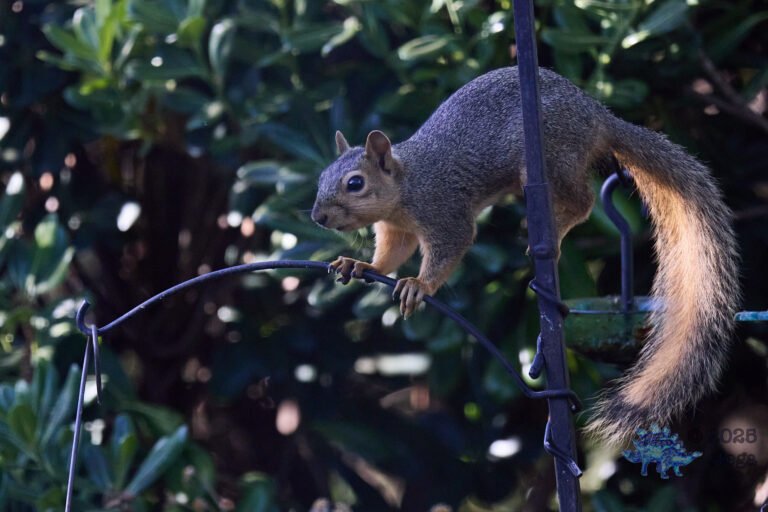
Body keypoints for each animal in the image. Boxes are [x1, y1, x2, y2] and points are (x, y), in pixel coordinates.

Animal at [310, 66, 739, 446]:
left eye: (355, 184)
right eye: (320, 178)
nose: (317, 217)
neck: (405, 186)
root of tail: (598, 116)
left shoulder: (443, 210)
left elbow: (452, 245)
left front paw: (419, 284)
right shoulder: (395, 229)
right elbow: (391, 254)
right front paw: (362, 265)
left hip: (554, 154)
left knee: (582, 201)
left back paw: (555, 231)